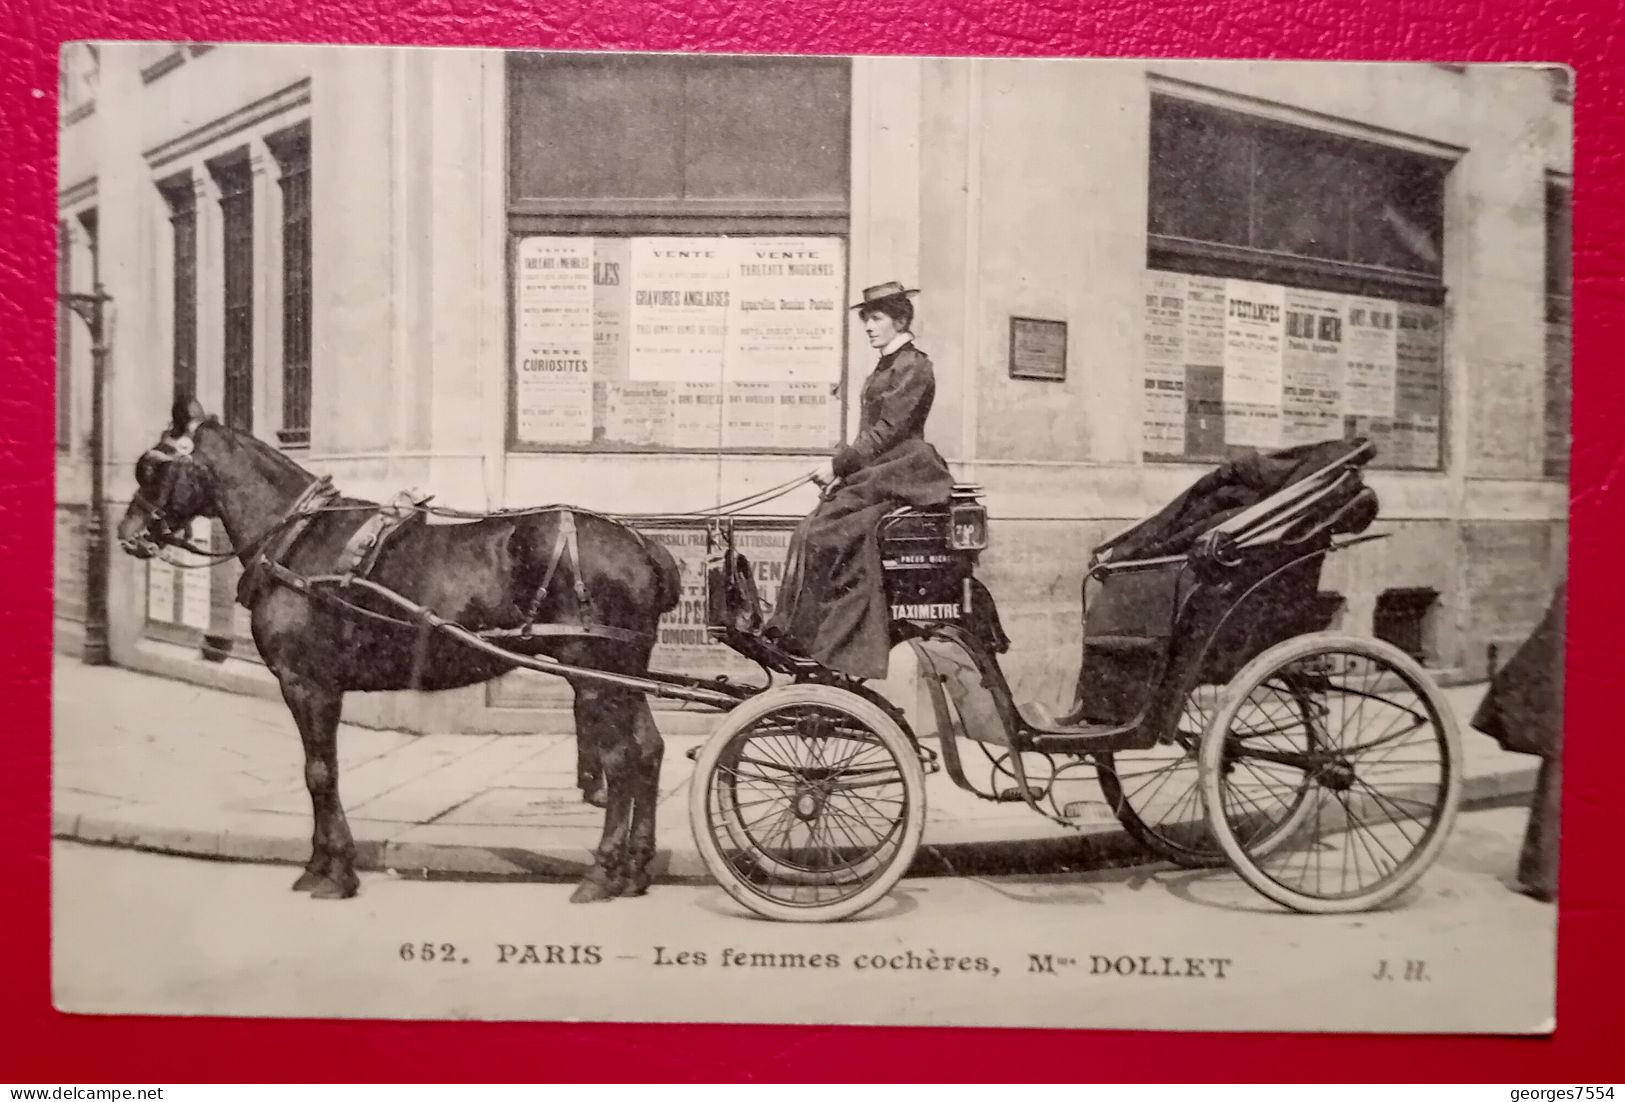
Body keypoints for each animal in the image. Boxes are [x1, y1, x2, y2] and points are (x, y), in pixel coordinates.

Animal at [114, 401, 682, 903]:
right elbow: (321, 772)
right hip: (623, 675)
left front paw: (334, 871)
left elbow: (320, 772)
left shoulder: (307, 684)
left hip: (596, 676)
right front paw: (320, 863)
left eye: (151, 467)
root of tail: (642, 544)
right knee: (648, 751)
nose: (127, 533)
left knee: (620, 760)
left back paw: (602, 873)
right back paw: (635, 869)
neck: (298, 540)